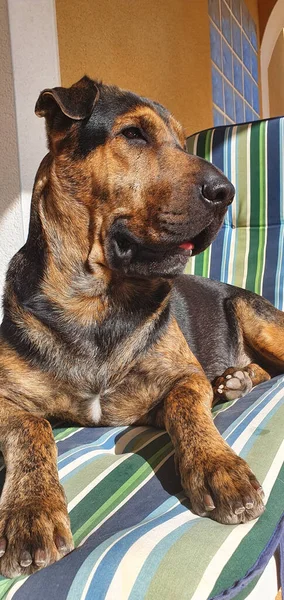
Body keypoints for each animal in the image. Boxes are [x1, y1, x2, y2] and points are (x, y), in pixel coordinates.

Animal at [0, 75, 284, 576]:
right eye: (133, 134)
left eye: (182, 142)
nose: (227, 193)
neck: (96, 303)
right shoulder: (5, 398)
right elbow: (30, 430)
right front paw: (31, 510)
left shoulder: (183, 377)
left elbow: (188, 409)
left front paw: (219, 466)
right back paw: (236, 380)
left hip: (257, 318)